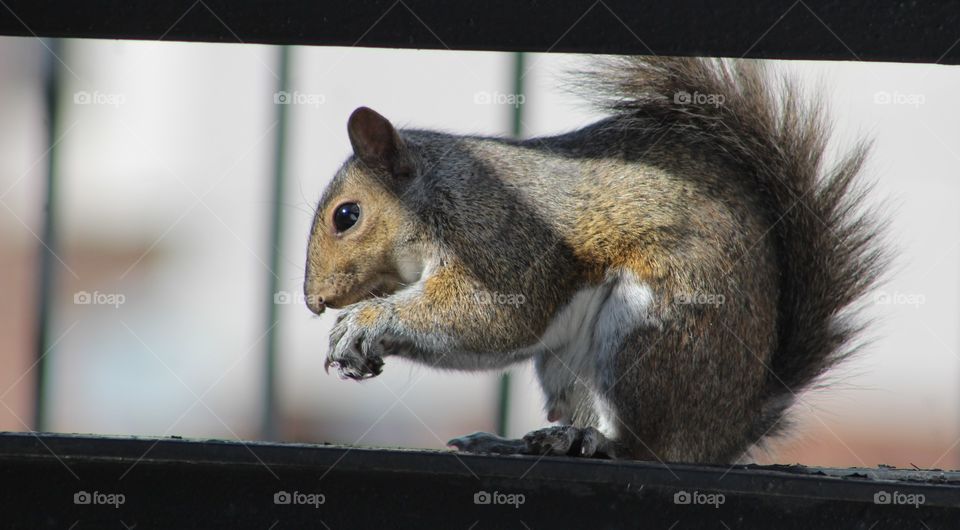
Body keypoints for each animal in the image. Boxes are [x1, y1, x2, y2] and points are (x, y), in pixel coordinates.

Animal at [303, 57, 887, 464]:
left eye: (346, 216)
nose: (313, 301)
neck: (439, 196)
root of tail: (725, 429)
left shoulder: (499, 241)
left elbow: (491, 317)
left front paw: (363, 323)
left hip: (650, 336)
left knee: (645, 446)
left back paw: (598, 442)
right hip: (571, 368)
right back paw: (536, 441)